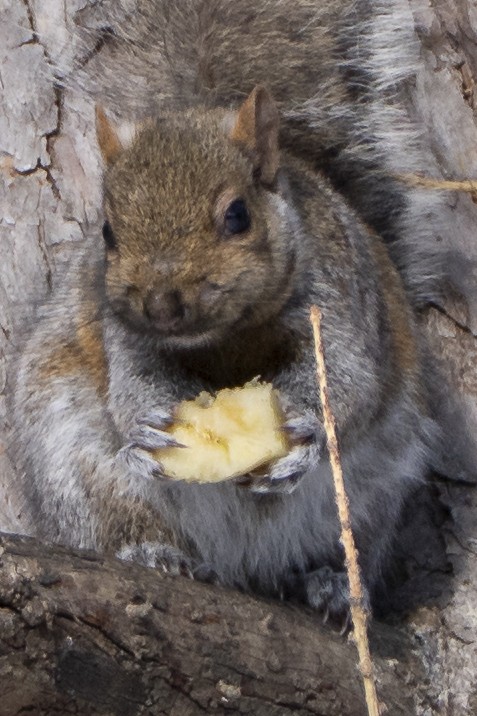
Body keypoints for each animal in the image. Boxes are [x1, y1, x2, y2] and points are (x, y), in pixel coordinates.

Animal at [7, 0, 462, 618]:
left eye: (238, 215)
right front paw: (146, 422)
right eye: (107, 233)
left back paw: (331, 584)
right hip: (77, 468)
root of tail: (242, 562)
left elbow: (349, 384)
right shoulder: (120, 331)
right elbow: (132, 381)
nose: (162, 304)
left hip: (371, 494)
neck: (225, 338)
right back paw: (152, 553)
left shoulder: (343, 301)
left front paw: (307, 430)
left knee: (344, 546)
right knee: (112, 523)